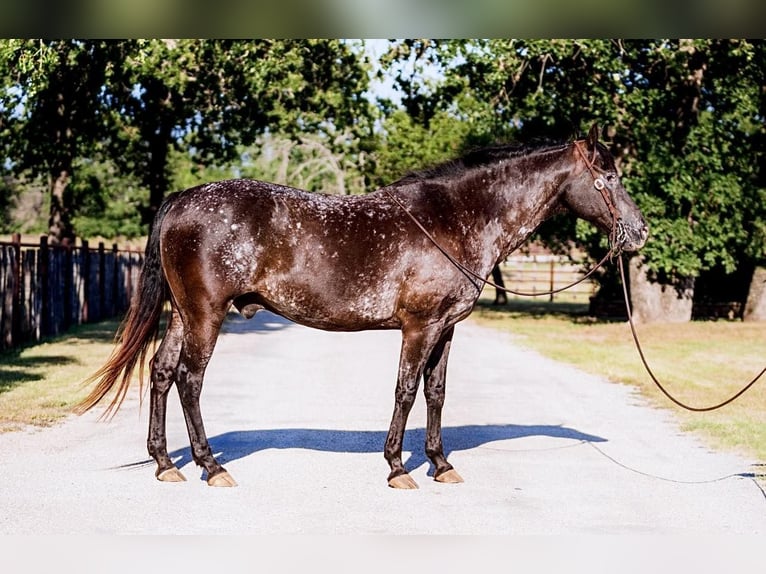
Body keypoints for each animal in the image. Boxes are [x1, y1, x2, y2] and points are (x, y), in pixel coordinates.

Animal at [76, 125, 648, 490]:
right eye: (611, 178)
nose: (640, 231)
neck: (454, 218)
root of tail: (180, 201)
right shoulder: (419, 327)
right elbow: (406, 391)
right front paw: (397, 467)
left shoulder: (446, 329)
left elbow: (436, 394)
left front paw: (440, 464)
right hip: (205, 316)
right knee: (189, 379)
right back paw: (211, 467)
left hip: (183, 314)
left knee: (161, 372)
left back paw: (164, 463)